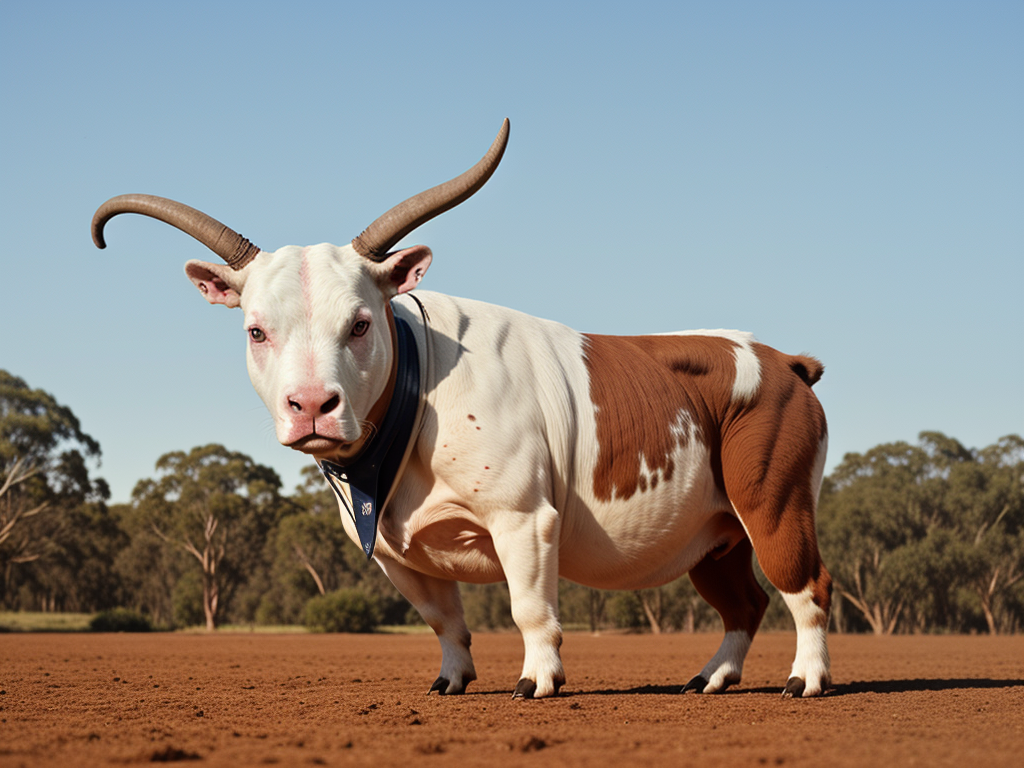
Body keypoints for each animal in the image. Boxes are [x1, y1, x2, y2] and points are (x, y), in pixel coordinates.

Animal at [92, 118, 832, 699]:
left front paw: (537, 680)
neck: (412, 411)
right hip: (715, 533)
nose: (312, 406)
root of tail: (783, 361)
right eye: (256, 330)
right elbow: (444, 619)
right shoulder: (396, 549)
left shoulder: (523, 518)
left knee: (807, 586)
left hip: (772, 504)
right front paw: (452, 678)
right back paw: (713, 677)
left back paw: (807, 679)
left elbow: (530, 609)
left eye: (360, 323)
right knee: (745, 602)